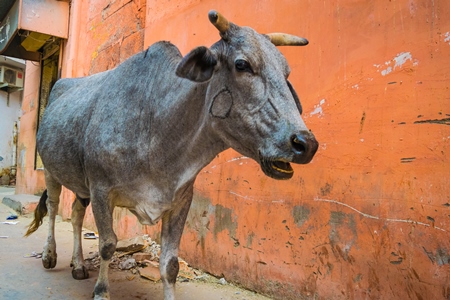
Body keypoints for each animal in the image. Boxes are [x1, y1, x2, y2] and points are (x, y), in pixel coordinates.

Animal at [26, 10, 318, 300]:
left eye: (286, 71)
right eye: (242, 64)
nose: (306, 143)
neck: (155, 125)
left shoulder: (181, 200)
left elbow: (170, 264)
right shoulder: (101, 190)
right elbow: (107, 244)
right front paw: (101, 291)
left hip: (80, 185)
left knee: (75, 214)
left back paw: (78, 265)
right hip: (51, 170)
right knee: (54, 207)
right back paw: (49, 255)